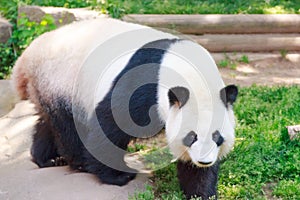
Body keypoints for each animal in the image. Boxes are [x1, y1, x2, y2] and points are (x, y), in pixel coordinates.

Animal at [11, 17, 238, 198]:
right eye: (191, 136)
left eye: (217, 137)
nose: (204, 161)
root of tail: (26, 57)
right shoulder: (142, 83)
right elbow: (110, 123)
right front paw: (117, 175)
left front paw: (200, 190)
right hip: (61, 80)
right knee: (67, 125)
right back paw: (76, 161)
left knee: (47, 120)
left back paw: (47, 158)